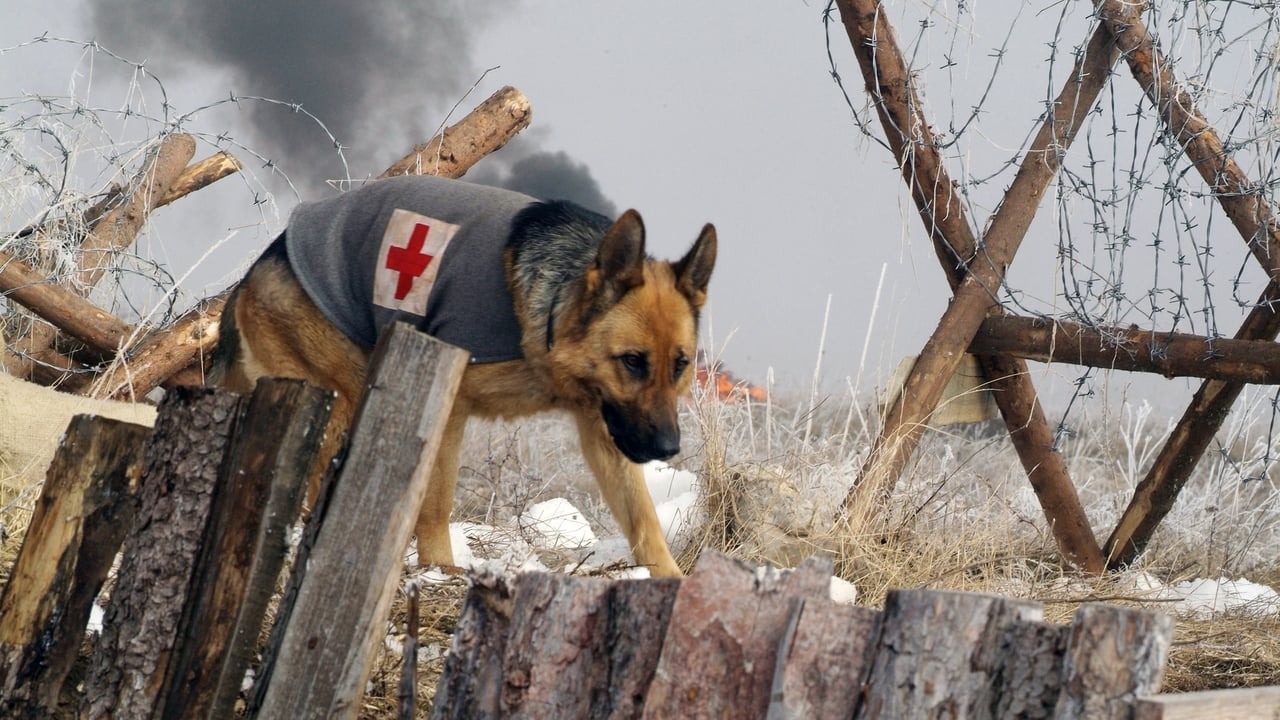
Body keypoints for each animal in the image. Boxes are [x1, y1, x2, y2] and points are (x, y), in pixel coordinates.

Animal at [204, 175, 716, 576]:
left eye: (679, 364)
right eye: (632, 360)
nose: (668, 448)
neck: (553, 310)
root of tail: (257, 270)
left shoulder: (603, 429)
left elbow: (643, 521)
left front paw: (671, 581)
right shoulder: (450, 408)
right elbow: (435, 503)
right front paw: (439, 572)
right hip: (341, 402)